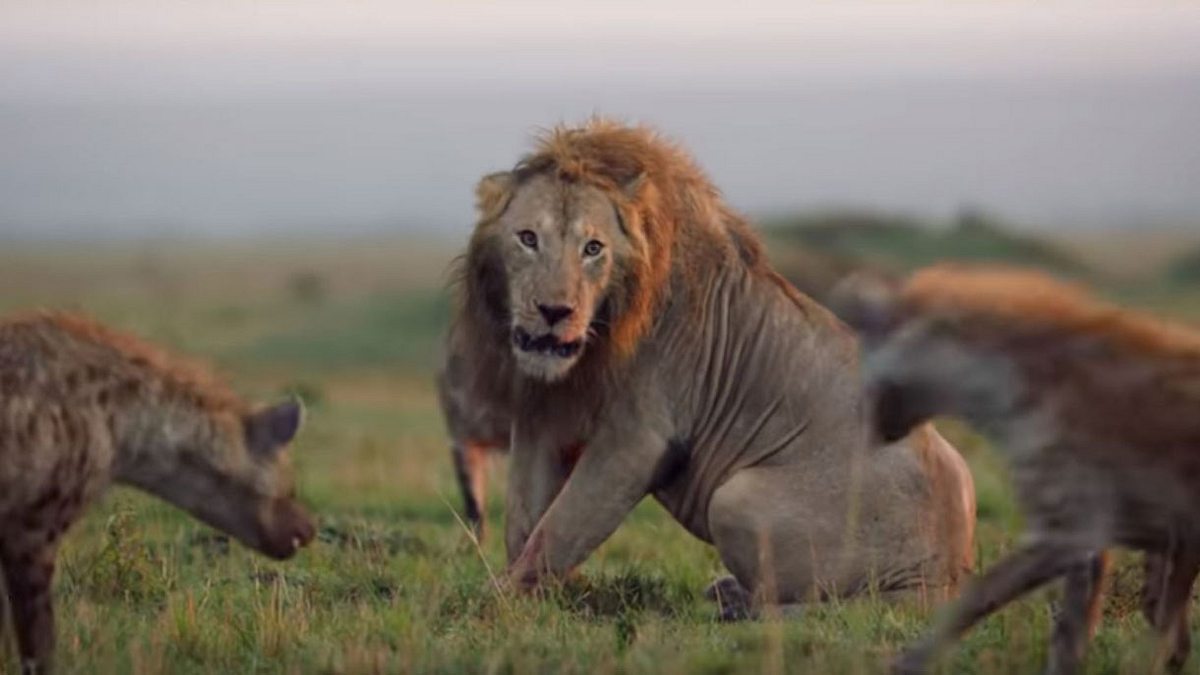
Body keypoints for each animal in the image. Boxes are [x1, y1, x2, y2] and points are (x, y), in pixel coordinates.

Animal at [451, 118, 974, 612]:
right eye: (527, 239)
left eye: (593, 248)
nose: (554, 311)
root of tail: (949, 576)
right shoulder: (541, 417)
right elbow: (525, 521)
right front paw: (545, 593)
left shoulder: (638, 436)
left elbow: (560, 526)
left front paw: (495, 599)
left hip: (735, 500)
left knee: (831, 606)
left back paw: (735, 606)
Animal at [830, 264, 1200, 672]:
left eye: (866, 370)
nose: (863, 423)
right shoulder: (1094, 538)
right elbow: (1075, 633)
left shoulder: (1067, 530)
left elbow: (973, 600)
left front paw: (906, 662)